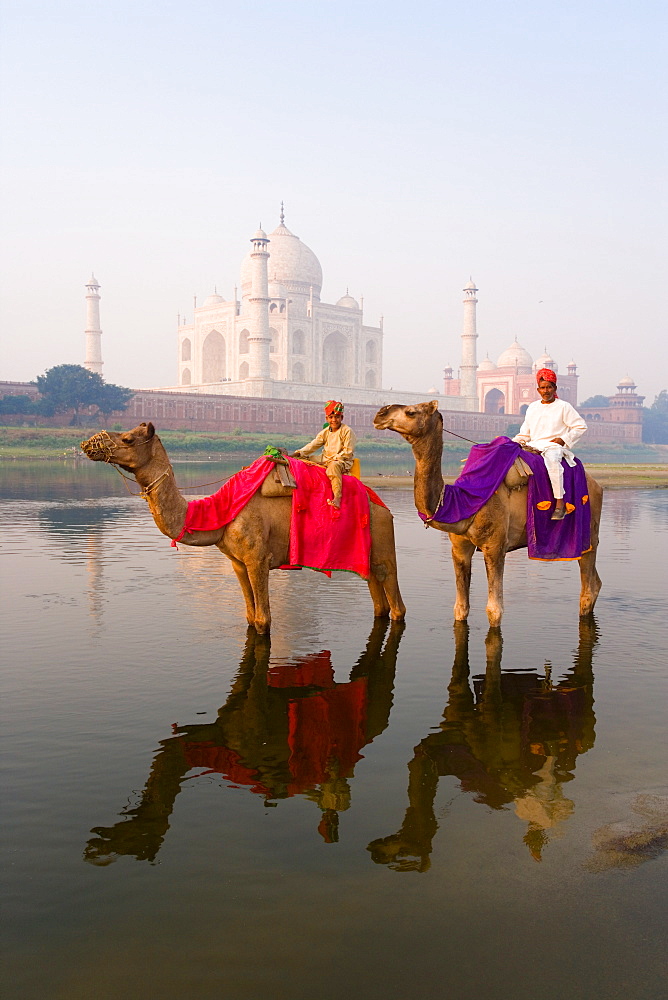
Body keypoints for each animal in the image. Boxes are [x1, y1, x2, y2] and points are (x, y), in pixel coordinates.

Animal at [81, 424, 404, 632]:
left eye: (127, 439)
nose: (88, 444)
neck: (221, 512)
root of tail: (381, 505)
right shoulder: (236, 561)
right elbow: (249, 617)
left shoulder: (257, 558)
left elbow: (263, 621)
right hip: (365, 550)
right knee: (377, 596)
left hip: (382, 538)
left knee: (395, 598)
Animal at [374, 400, 604, 624]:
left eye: (411, 412)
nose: (380, 413)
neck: (461, 500)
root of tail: (597, 485)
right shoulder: (459, 547)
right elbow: (460, 608)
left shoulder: (495, 546)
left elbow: (494, 611)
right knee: (596, 584)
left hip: (587, 534)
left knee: (588, 587)